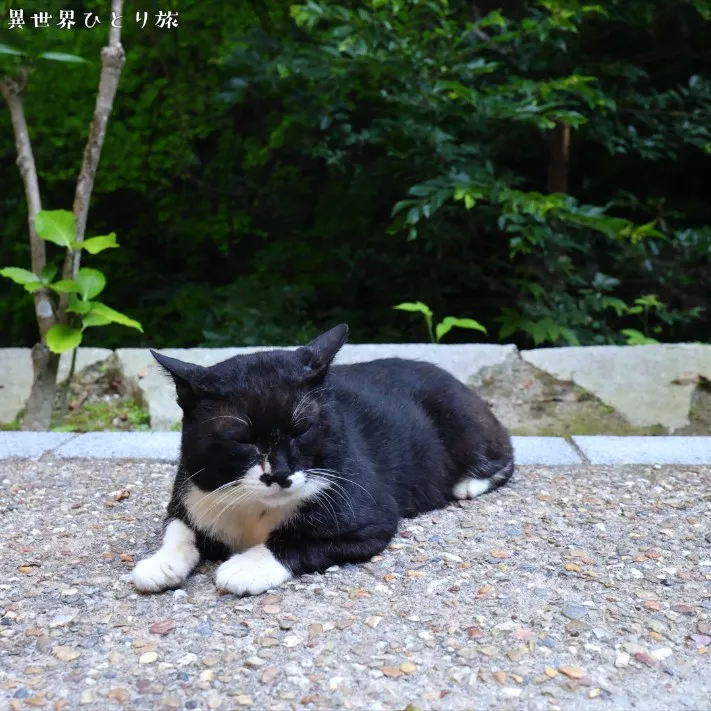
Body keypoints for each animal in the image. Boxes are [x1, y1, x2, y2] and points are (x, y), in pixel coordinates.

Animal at [132, 326, 512, 596]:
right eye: (242, 439)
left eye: (302, 429)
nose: (280, 473)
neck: (255, 507)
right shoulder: (189, 487)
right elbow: (178, 527)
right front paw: (159, 564)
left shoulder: (370, 518)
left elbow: (298, 541)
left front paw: (248, 567)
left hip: (463, 418)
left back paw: (468, 483)